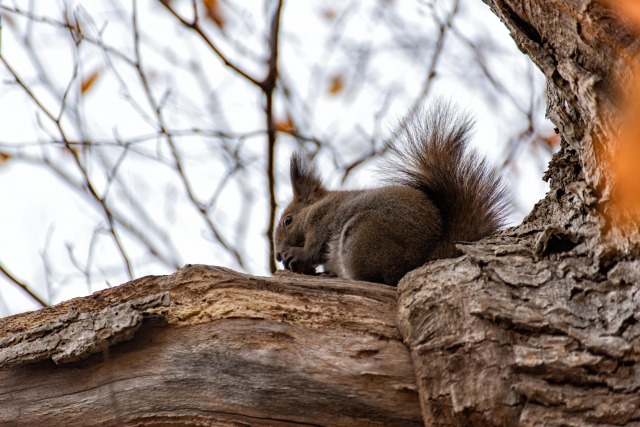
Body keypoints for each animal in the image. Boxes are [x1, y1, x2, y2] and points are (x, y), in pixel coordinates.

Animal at [274, 101, 510, 286]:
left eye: (287, 220)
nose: (276, 255)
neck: (317, 206)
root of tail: (423, 258)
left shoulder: (323, 220)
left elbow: (313, 248)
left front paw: (297, 255)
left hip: (363, 237)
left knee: (378, 278)